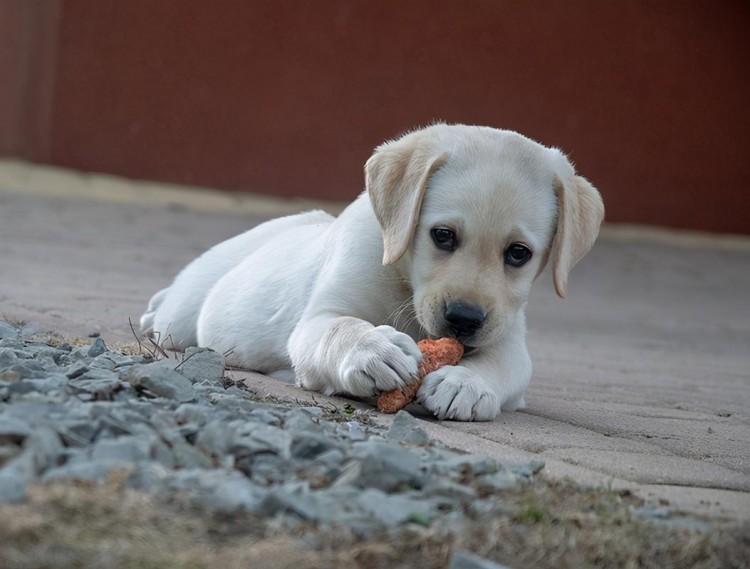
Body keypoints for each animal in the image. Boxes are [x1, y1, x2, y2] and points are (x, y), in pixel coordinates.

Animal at [144, 123, 608, 418]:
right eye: (443, 236)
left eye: (518, 253)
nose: (464, 319)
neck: (404, 282)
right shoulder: (318, 318)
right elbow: (340, 328)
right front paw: (372, 350)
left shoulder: (509, 335)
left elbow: (503, 365)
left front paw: (466, 384)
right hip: (184, 314)